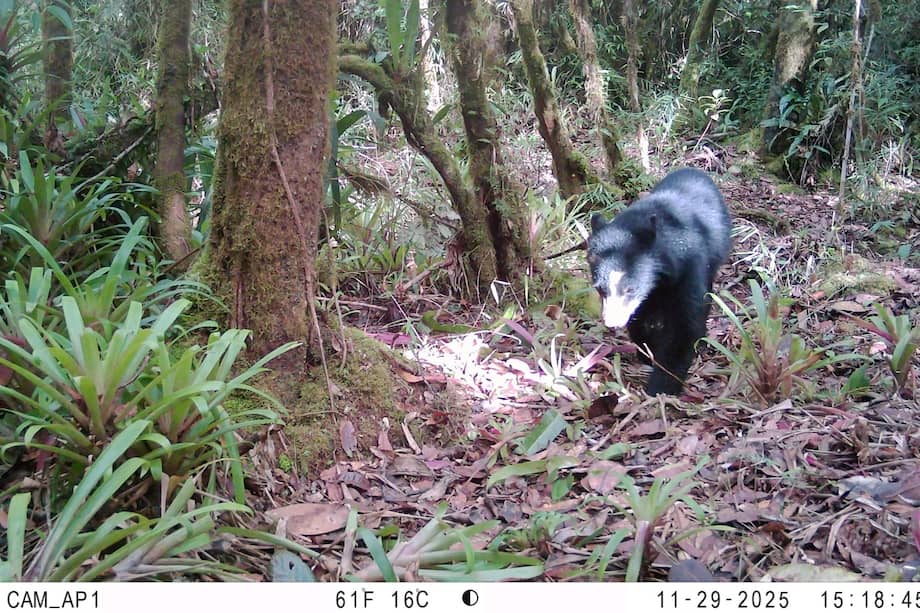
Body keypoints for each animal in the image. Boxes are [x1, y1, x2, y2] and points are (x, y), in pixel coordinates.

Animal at [587, 168, 731, 395]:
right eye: (601, 290)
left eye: (630, 289)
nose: (612, 323)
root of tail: (695, 171)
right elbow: (640, 318)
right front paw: (646, 351)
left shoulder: (690, 266)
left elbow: (685, 326)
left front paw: (660, 388)